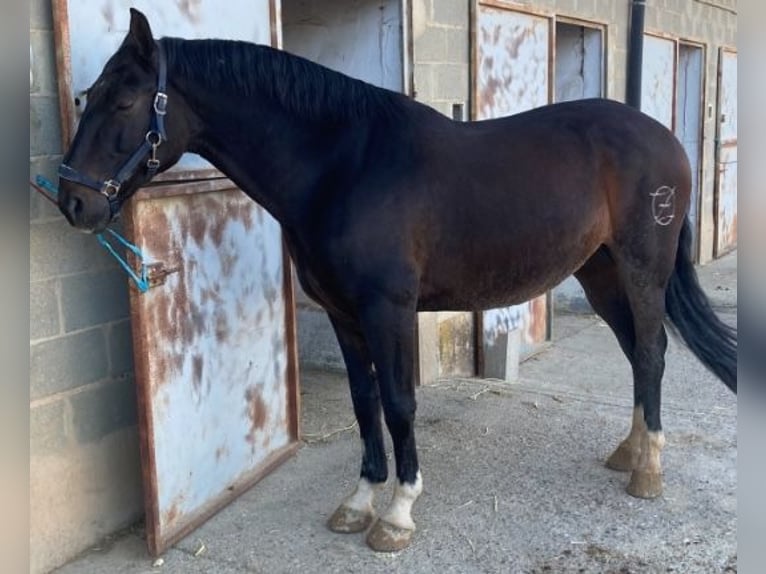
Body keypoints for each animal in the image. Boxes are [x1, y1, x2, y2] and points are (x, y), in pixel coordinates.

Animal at [57, 9, 740, 556]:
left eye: (125, 102)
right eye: (87, 96)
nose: (73, 202)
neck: (343, 165)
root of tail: (664, 139)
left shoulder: (389, 310)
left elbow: (400, 402)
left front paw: (398, 515)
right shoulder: (343, 313)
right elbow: (364, 402)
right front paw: (359, 501)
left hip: (642, 268)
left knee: (651, 352)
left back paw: (648, 471)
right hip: (599, 272)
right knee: (635, 351)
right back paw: (629, 451)